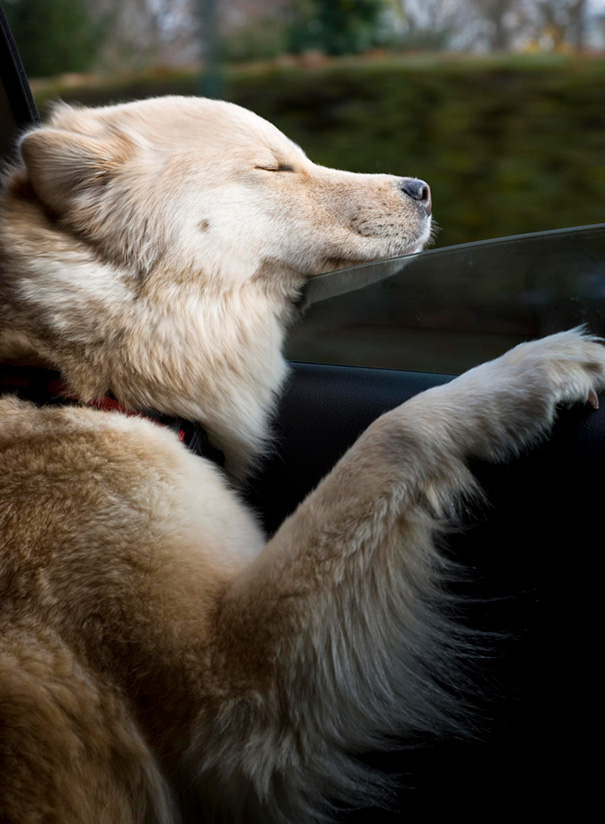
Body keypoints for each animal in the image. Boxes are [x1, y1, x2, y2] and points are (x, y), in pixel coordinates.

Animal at [0, 95, 600, 816]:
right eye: (273, 168)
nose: (422, 190)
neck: (69, 378)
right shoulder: (228, 693)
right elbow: (392, 431)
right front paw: (521, 374)